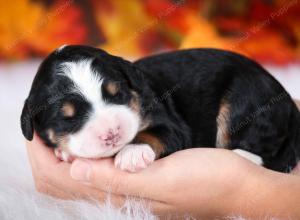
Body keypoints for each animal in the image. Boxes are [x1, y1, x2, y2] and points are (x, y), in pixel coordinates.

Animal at [19, 44, 298, 172]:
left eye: (117, 94)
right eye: (68, 118)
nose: (112, 133)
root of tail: (284, 96)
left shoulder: (172, 123)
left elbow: (155, 133)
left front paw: (132, 153)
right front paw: (65, 152)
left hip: (245, 104)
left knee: (265, 150)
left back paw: (241, 157)